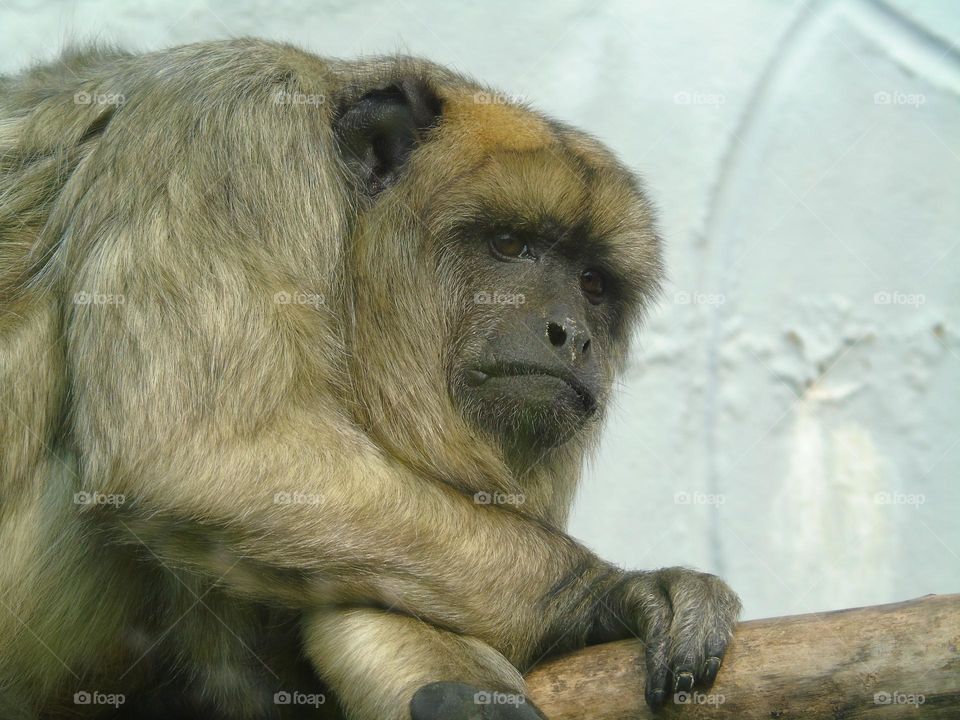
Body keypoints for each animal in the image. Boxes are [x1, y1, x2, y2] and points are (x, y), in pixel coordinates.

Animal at [0, 39, 741, 719]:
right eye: (509, 245)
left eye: (593, 284)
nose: (573, 335)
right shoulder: (229, 126)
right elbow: (195, 454)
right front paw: (607, 594)